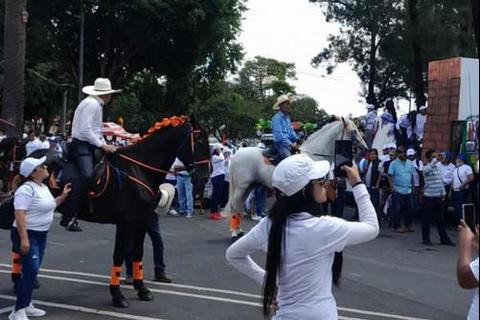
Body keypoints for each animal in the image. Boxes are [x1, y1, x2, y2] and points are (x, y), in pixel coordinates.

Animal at [226, 117, 368, 240]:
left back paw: (239, 231)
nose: (365, 148)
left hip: (249, 186)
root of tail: (238, 153)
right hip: (241, 187)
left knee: (239, 206)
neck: (314, 157)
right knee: (234, 206)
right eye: (354, 131)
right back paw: (234, 233)